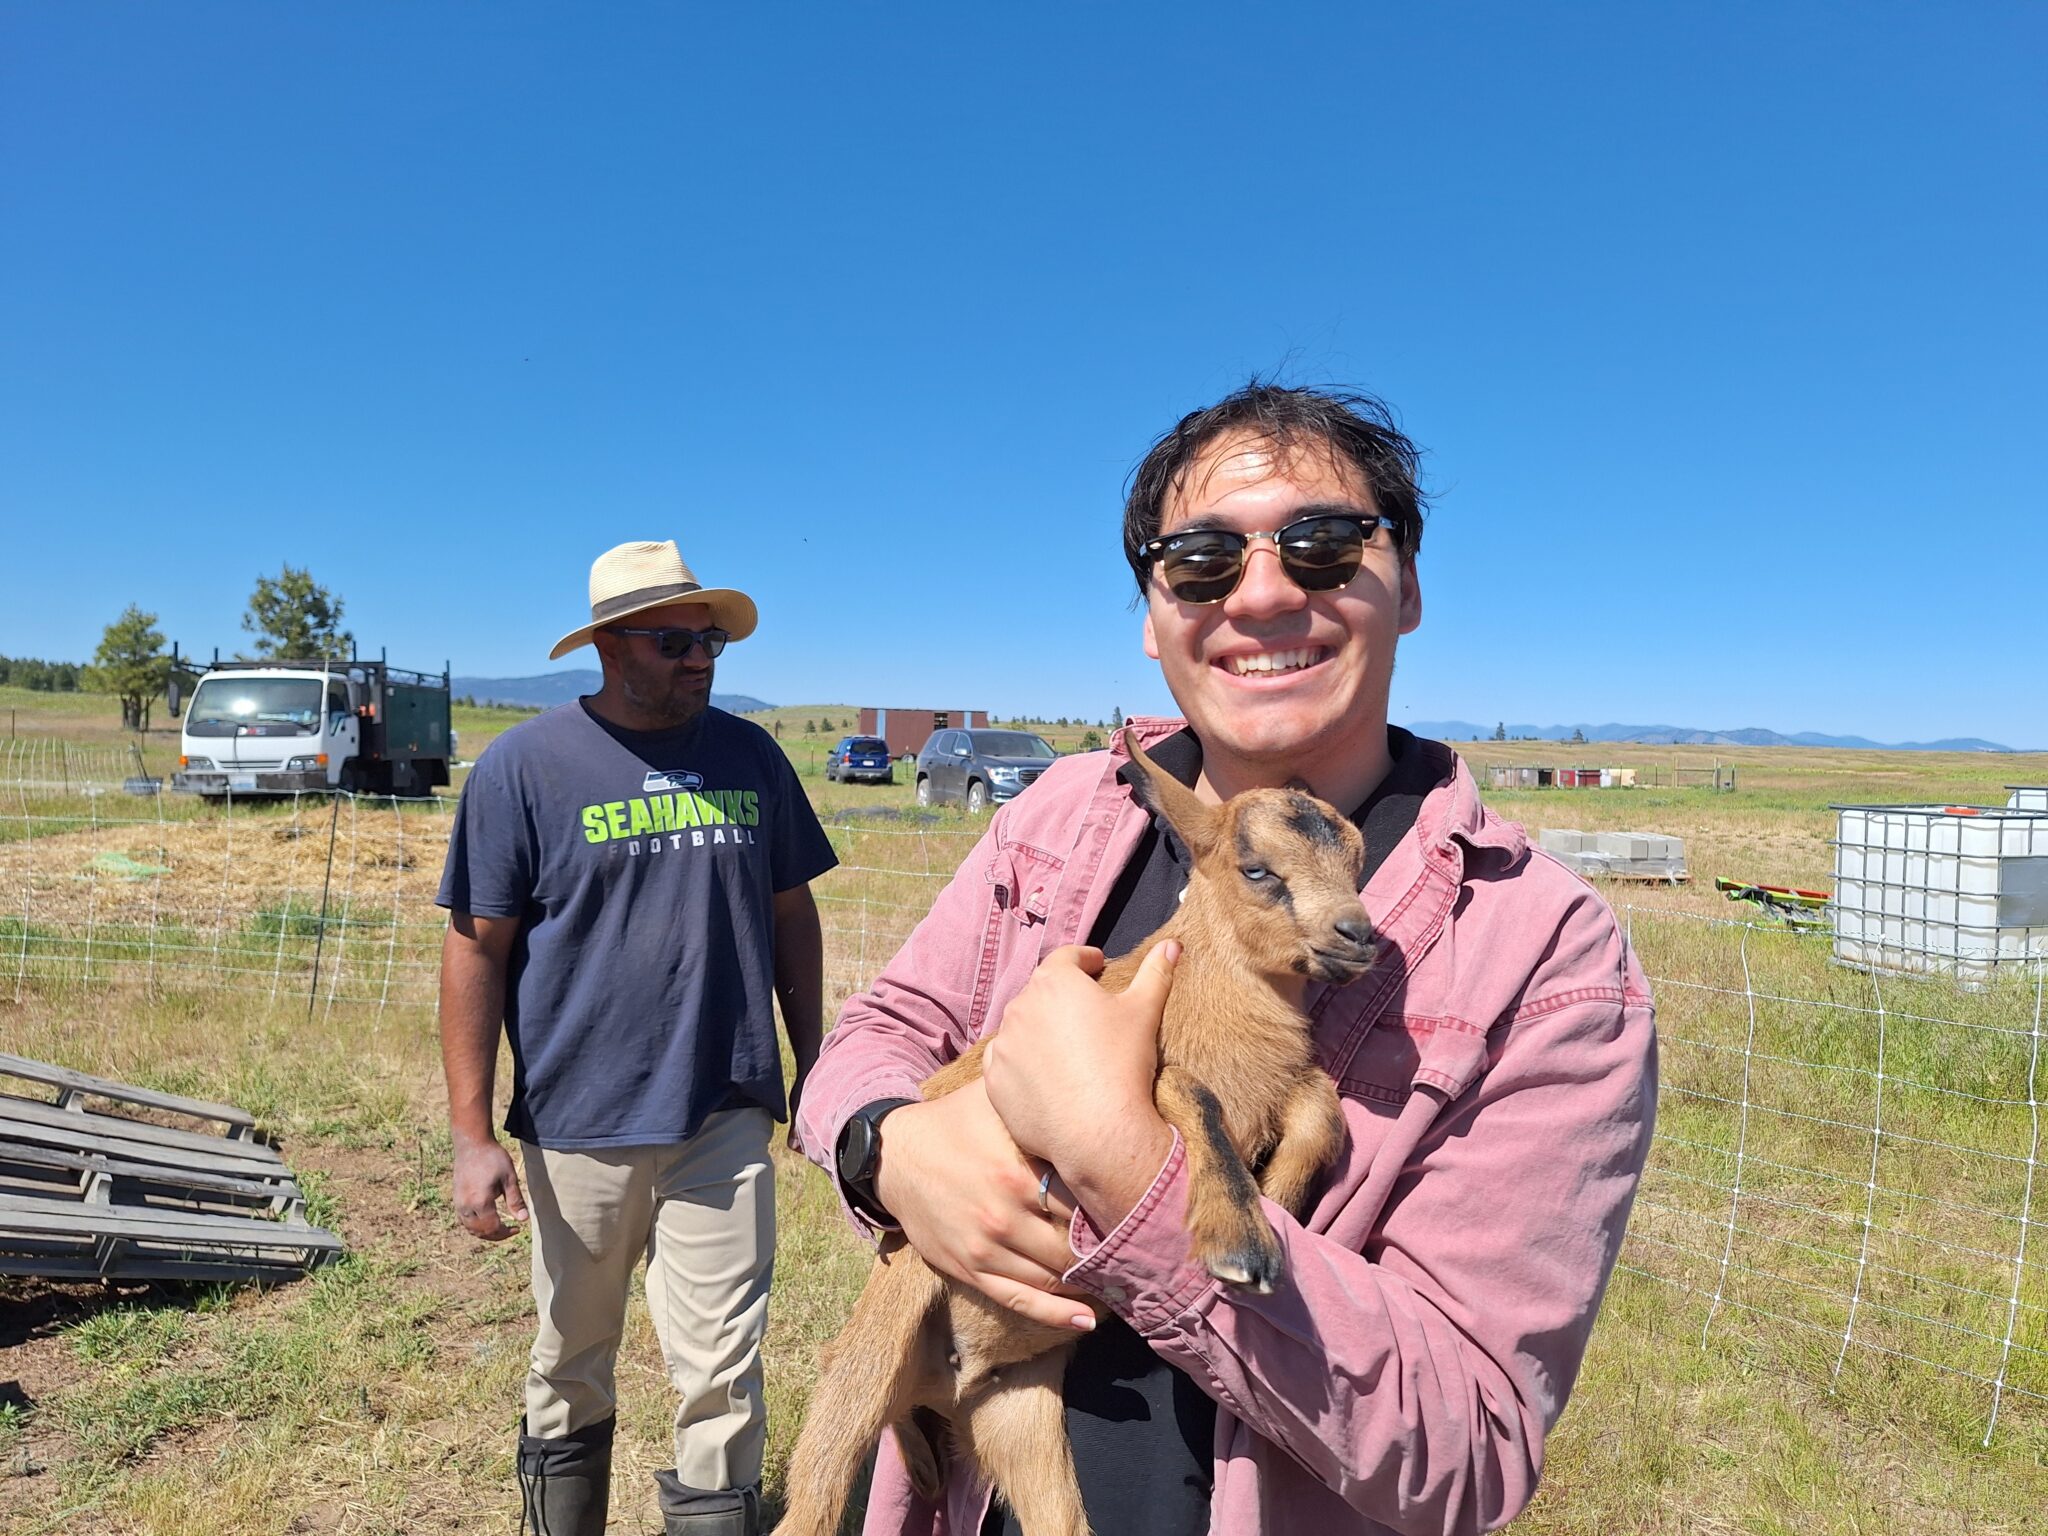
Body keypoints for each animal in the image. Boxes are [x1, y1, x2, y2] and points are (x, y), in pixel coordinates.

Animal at [770, 737, 1376, 1536]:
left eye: (1357, 863)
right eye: (1258, 870)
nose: (1360, 936)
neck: (1216, 1004)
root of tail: (941, 1386)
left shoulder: (1290, 1083)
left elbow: (1322, 1109)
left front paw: (1279, 1199)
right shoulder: (1136, 1076)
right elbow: (1199, 1098)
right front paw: (1243, 1244)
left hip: (1018, 1417)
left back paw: (929, 1460)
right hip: (876, 1342)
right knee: (820, 1468)